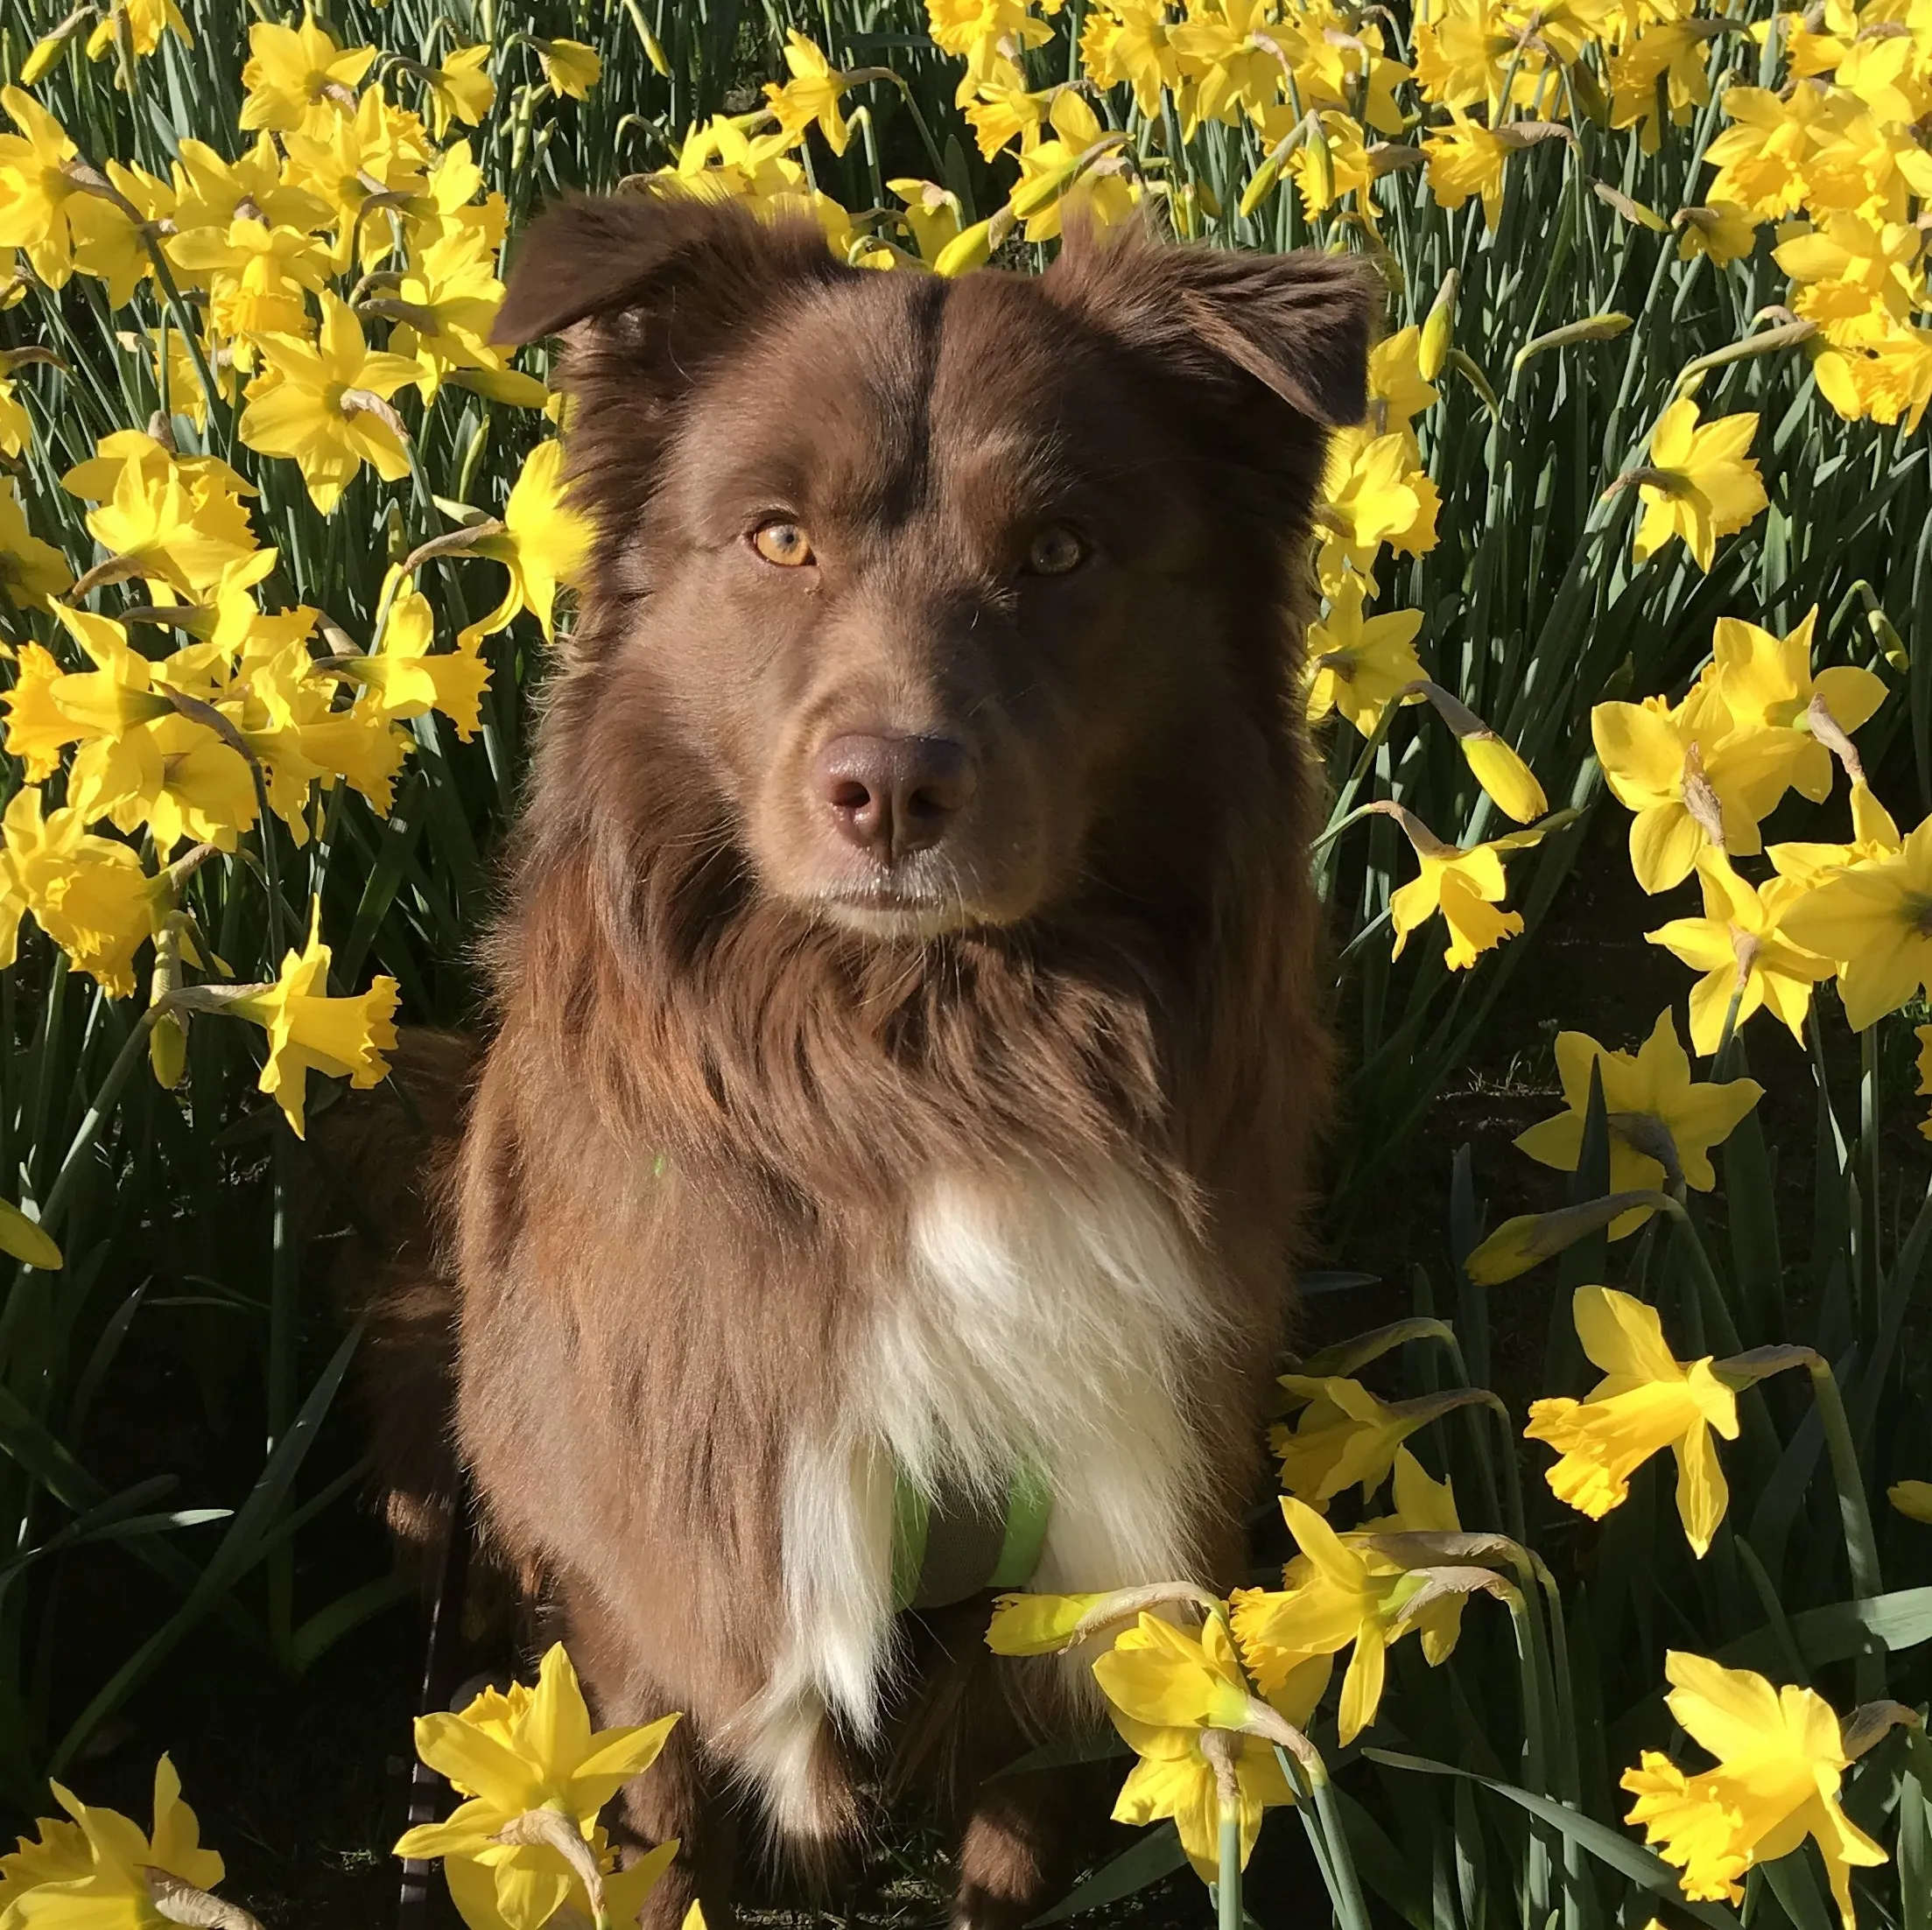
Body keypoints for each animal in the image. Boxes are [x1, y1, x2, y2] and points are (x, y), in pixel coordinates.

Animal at [426, 200, 1359, 1930]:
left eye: (1057, 552)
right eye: (777, 538)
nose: (890, 790)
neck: (915, 1056)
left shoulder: (1081, 1555)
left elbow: (1007, 1839)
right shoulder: (659, 1570)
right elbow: (653, 1819)